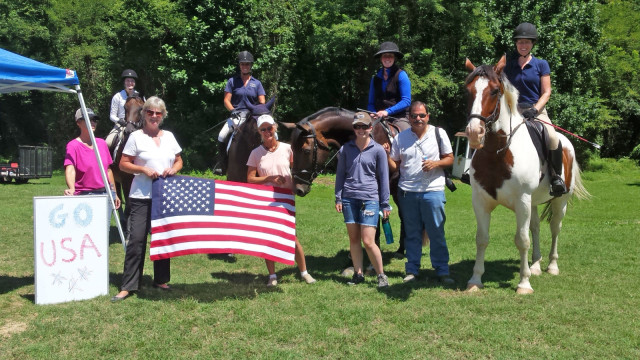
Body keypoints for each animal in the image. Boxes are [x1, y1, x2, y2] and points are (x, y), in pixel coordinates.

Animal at [460, 55, 592, 292]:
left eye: (494, 90)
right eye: (468, 91)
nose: (475, 132)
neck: (498, 152)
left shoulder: (522, 200)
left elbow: (522, 240)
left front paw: (524, 283)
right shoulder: (481, 200)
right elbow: (482, 238)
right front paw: (475, 281)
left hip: (560, 200)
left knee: (555, 228)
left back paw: (552, 266)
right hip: (533, 202)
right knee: (536, 227)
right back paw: (536, 265)